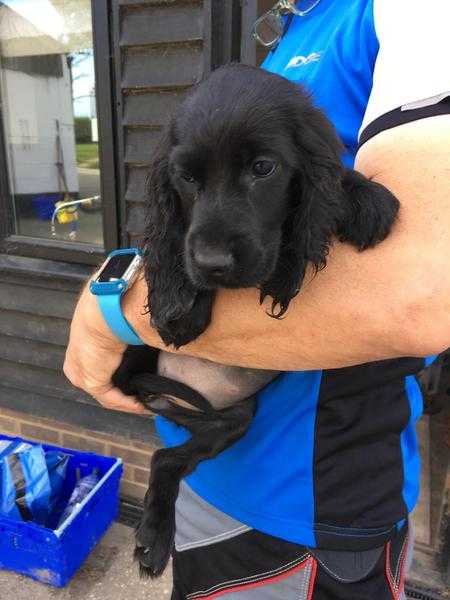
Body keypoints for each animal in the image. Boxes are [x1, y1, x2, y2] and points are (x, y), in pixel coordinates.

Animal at [114, 63, 400, 580]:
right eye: (186, 177)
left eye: (263, 168)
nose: (212, 263)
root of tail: (174, 405)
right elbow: (176, 245)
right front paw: (180, 302)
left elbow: (326, 187)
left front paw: (365, 199)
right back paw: (153, 539)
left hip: (233, 423)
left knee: (166, 458)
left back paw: (154, 537)